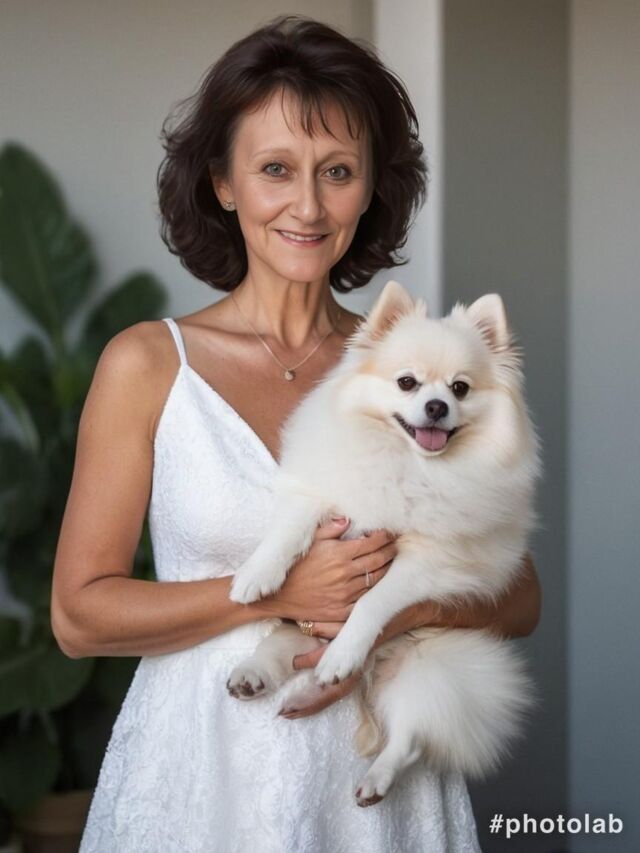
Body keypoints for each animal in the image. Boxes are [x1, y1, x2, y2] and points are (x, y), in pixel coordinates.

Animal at [226, 279, 541, 806]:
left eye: (460, 388)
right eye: (407, 383)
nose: (437, 407)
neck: (406, 462)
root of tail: (374, 672)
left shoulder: (429, 561)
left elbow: (373, 602)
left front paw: (343, 652)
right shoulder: (325, 493)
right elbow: (289, 530)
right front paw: (257, 574)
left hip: (429, 669)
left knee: (409, 738)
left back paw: (374, 773)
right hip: (298, 630)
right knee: (284, 646)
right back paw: (259, 676)